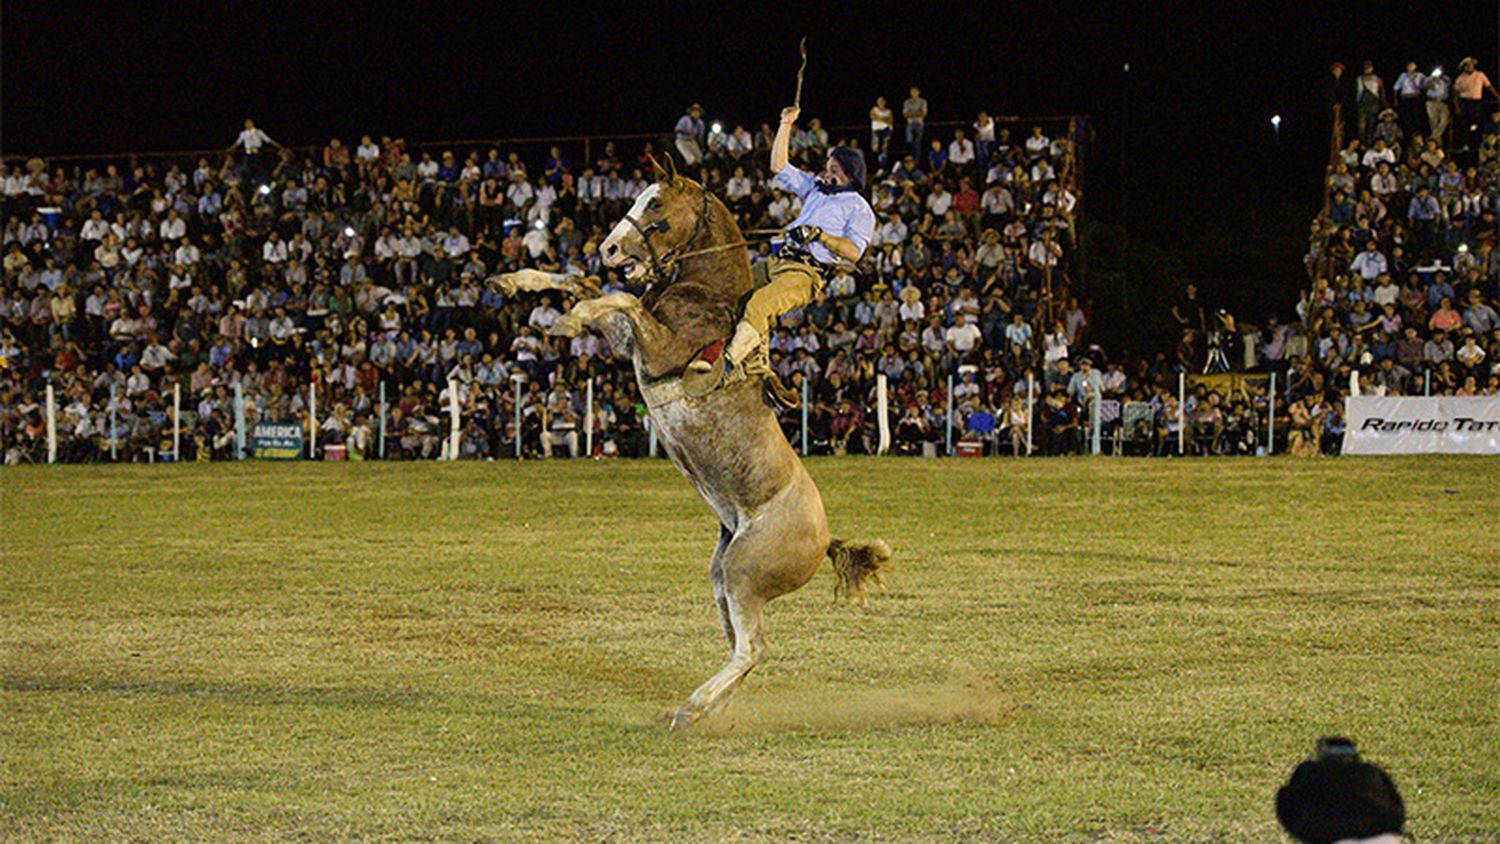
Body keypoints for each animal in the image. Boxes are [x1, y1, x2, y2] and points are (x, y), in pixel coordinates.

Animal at [492, 158, 888, 734]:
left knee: (751, 648)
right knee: (744, 648)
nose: (610, 248)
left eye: (656, 203)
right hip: (723, 576)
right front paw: (513, 280)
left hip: (744, 572)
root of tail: (826, 538)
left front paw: (566, 319)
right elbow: (585, 284)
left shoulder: (655, 350)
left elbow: (616, 297)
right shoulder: (630, 339)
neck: (705, 297)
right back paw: (711, 708)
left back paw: (691, 708)